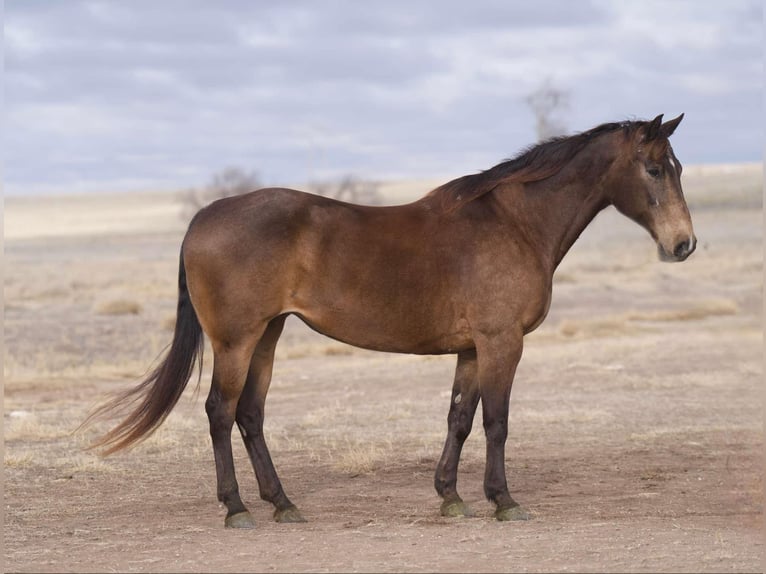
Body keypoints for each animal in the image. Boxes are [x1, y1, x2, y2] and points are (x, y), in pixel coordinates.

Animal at [85, 113, 695, 527]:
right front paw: (503, 500)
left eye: (678, 167)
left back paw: (283, 503)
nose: (683, 244)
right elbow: (496, 422)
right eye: (654, 168)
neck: (514, 224)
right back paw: (237, 509)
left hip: (268, 335)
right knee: (220, 411)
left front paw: (450, 497)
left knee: (250, 415)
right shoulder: (502, 343)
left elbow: (459, 419)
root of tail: (204, 216)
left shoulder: (472, 349)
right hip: (237, 341)